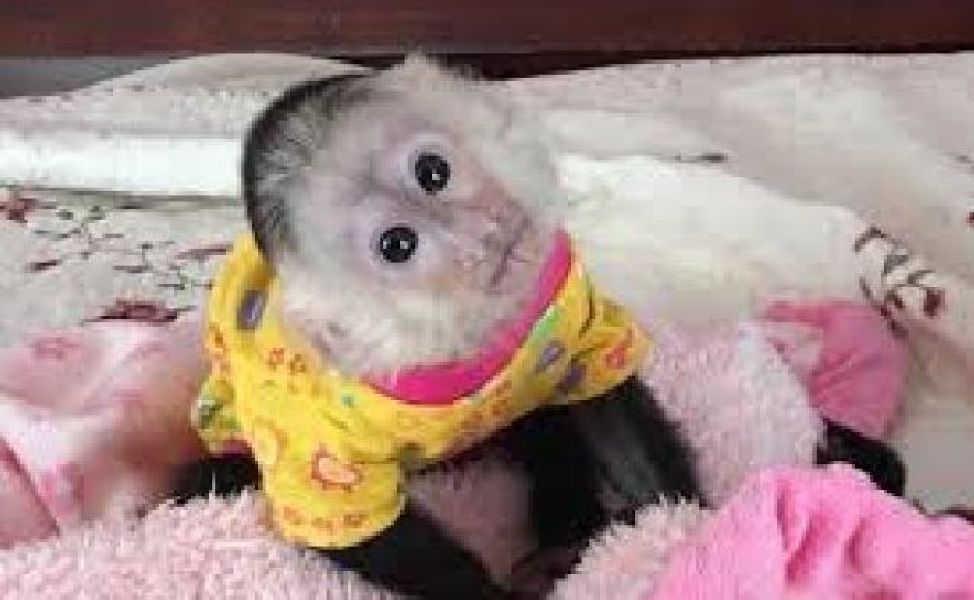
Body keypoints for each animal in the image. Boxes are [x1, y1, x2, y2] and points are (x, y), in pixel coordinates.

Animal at [173, 57, 906, 599]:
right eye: (398, 245)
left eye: (433, 172)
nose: (480, 234)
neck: (466, 337)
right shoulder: (312, 419)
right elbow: (351, 527)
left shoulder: (558, 284)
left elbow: (600, 396)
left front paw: (684, 532)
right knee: (206, 483)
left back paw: (567, 533)